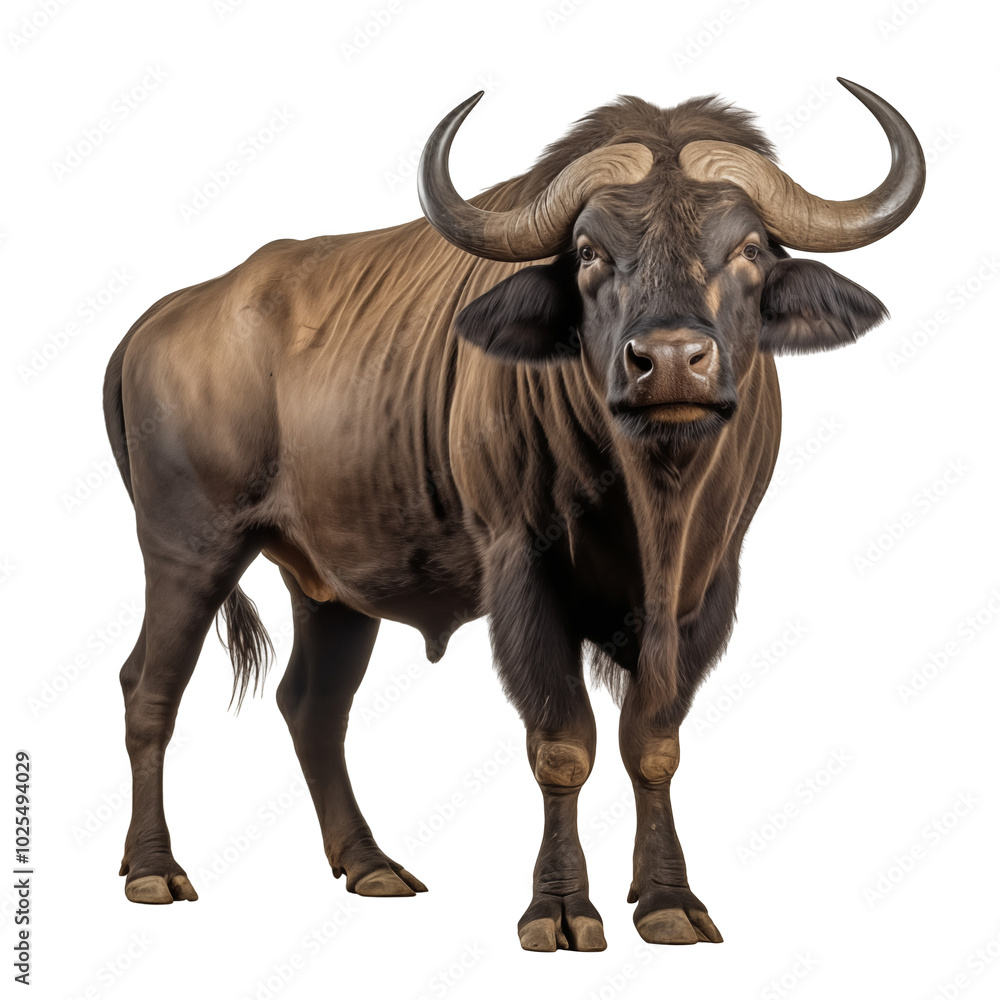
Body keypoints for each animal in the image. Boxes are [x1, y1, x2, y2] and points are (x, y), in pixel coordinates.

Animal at [103, 78, 924, 951]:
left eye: (750, 249)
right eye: (589, 251)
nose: (670, 361)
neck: (650, 497)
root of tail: (159, 321)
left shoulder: (706, 590)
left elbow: (653, 743)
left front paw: (666, 899)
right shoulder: (524, 576)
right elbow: (563, 744)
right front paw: (560, 908)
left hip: (327, 585)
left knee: (312, 706)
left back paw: (370, 864)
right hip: (189, 549)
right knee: (149, 690)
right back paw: (153, 869)